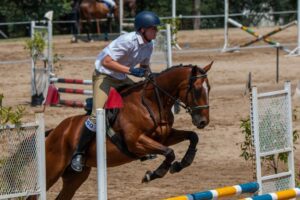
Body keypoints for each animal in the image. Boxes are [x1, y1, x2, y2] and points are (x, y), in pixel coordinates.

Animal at [42, 62, 212, 198]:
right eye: (197, 90)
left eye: (209, 88)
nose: (203, 121)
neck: (151, 103)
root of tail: (54, 132)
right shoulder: (135, 141)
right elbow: (169, 152)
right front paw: (153, 174)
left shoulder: (165, 136)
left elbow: (193, 136)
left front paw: (182, 163)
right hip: (52, 172)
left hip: (74, 177)